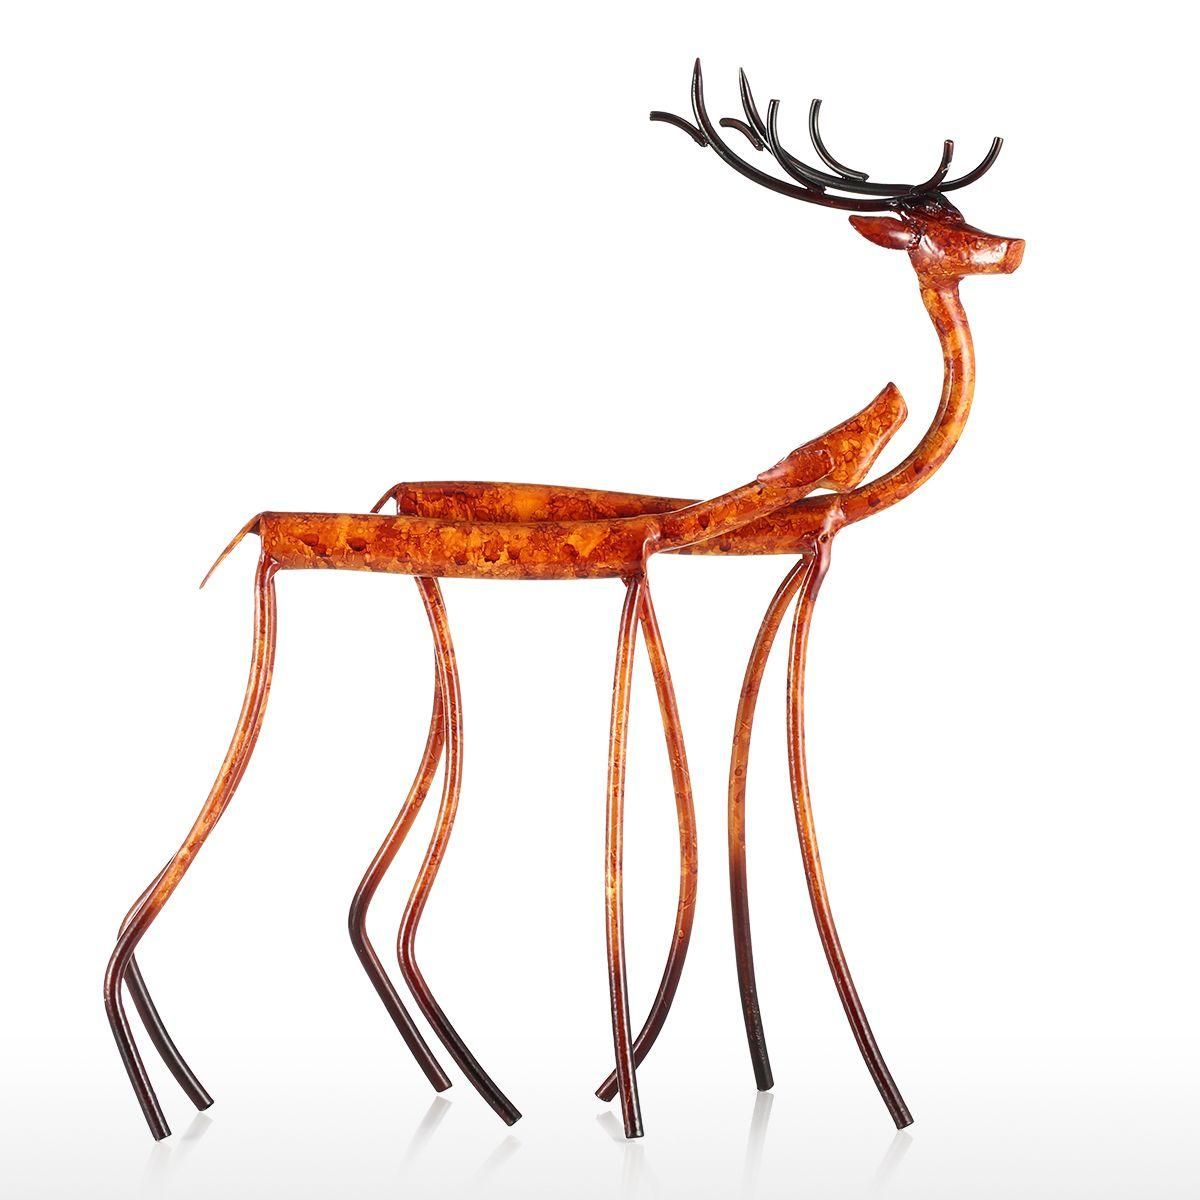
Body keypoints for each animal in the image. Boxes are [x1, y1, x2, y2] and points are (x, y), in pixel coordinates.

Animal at [104, 387, 909, 1142]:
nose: (877, 420)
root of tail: (261, 527)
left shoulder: (668, 569)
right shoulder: (635, 567)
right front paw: (631, 1104)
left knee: (361, 912)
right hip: (297, 584)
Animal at [349, 61, 1023, 1137]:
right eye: (936, 226)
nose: (1015, 247)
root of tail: (390, 500)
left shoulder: (783, 573)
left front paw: (753, 1063)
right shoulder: (705, 567)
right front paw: (878, 1097)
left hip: (430, 597)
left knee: (387, 895)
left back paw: (472, 1084)